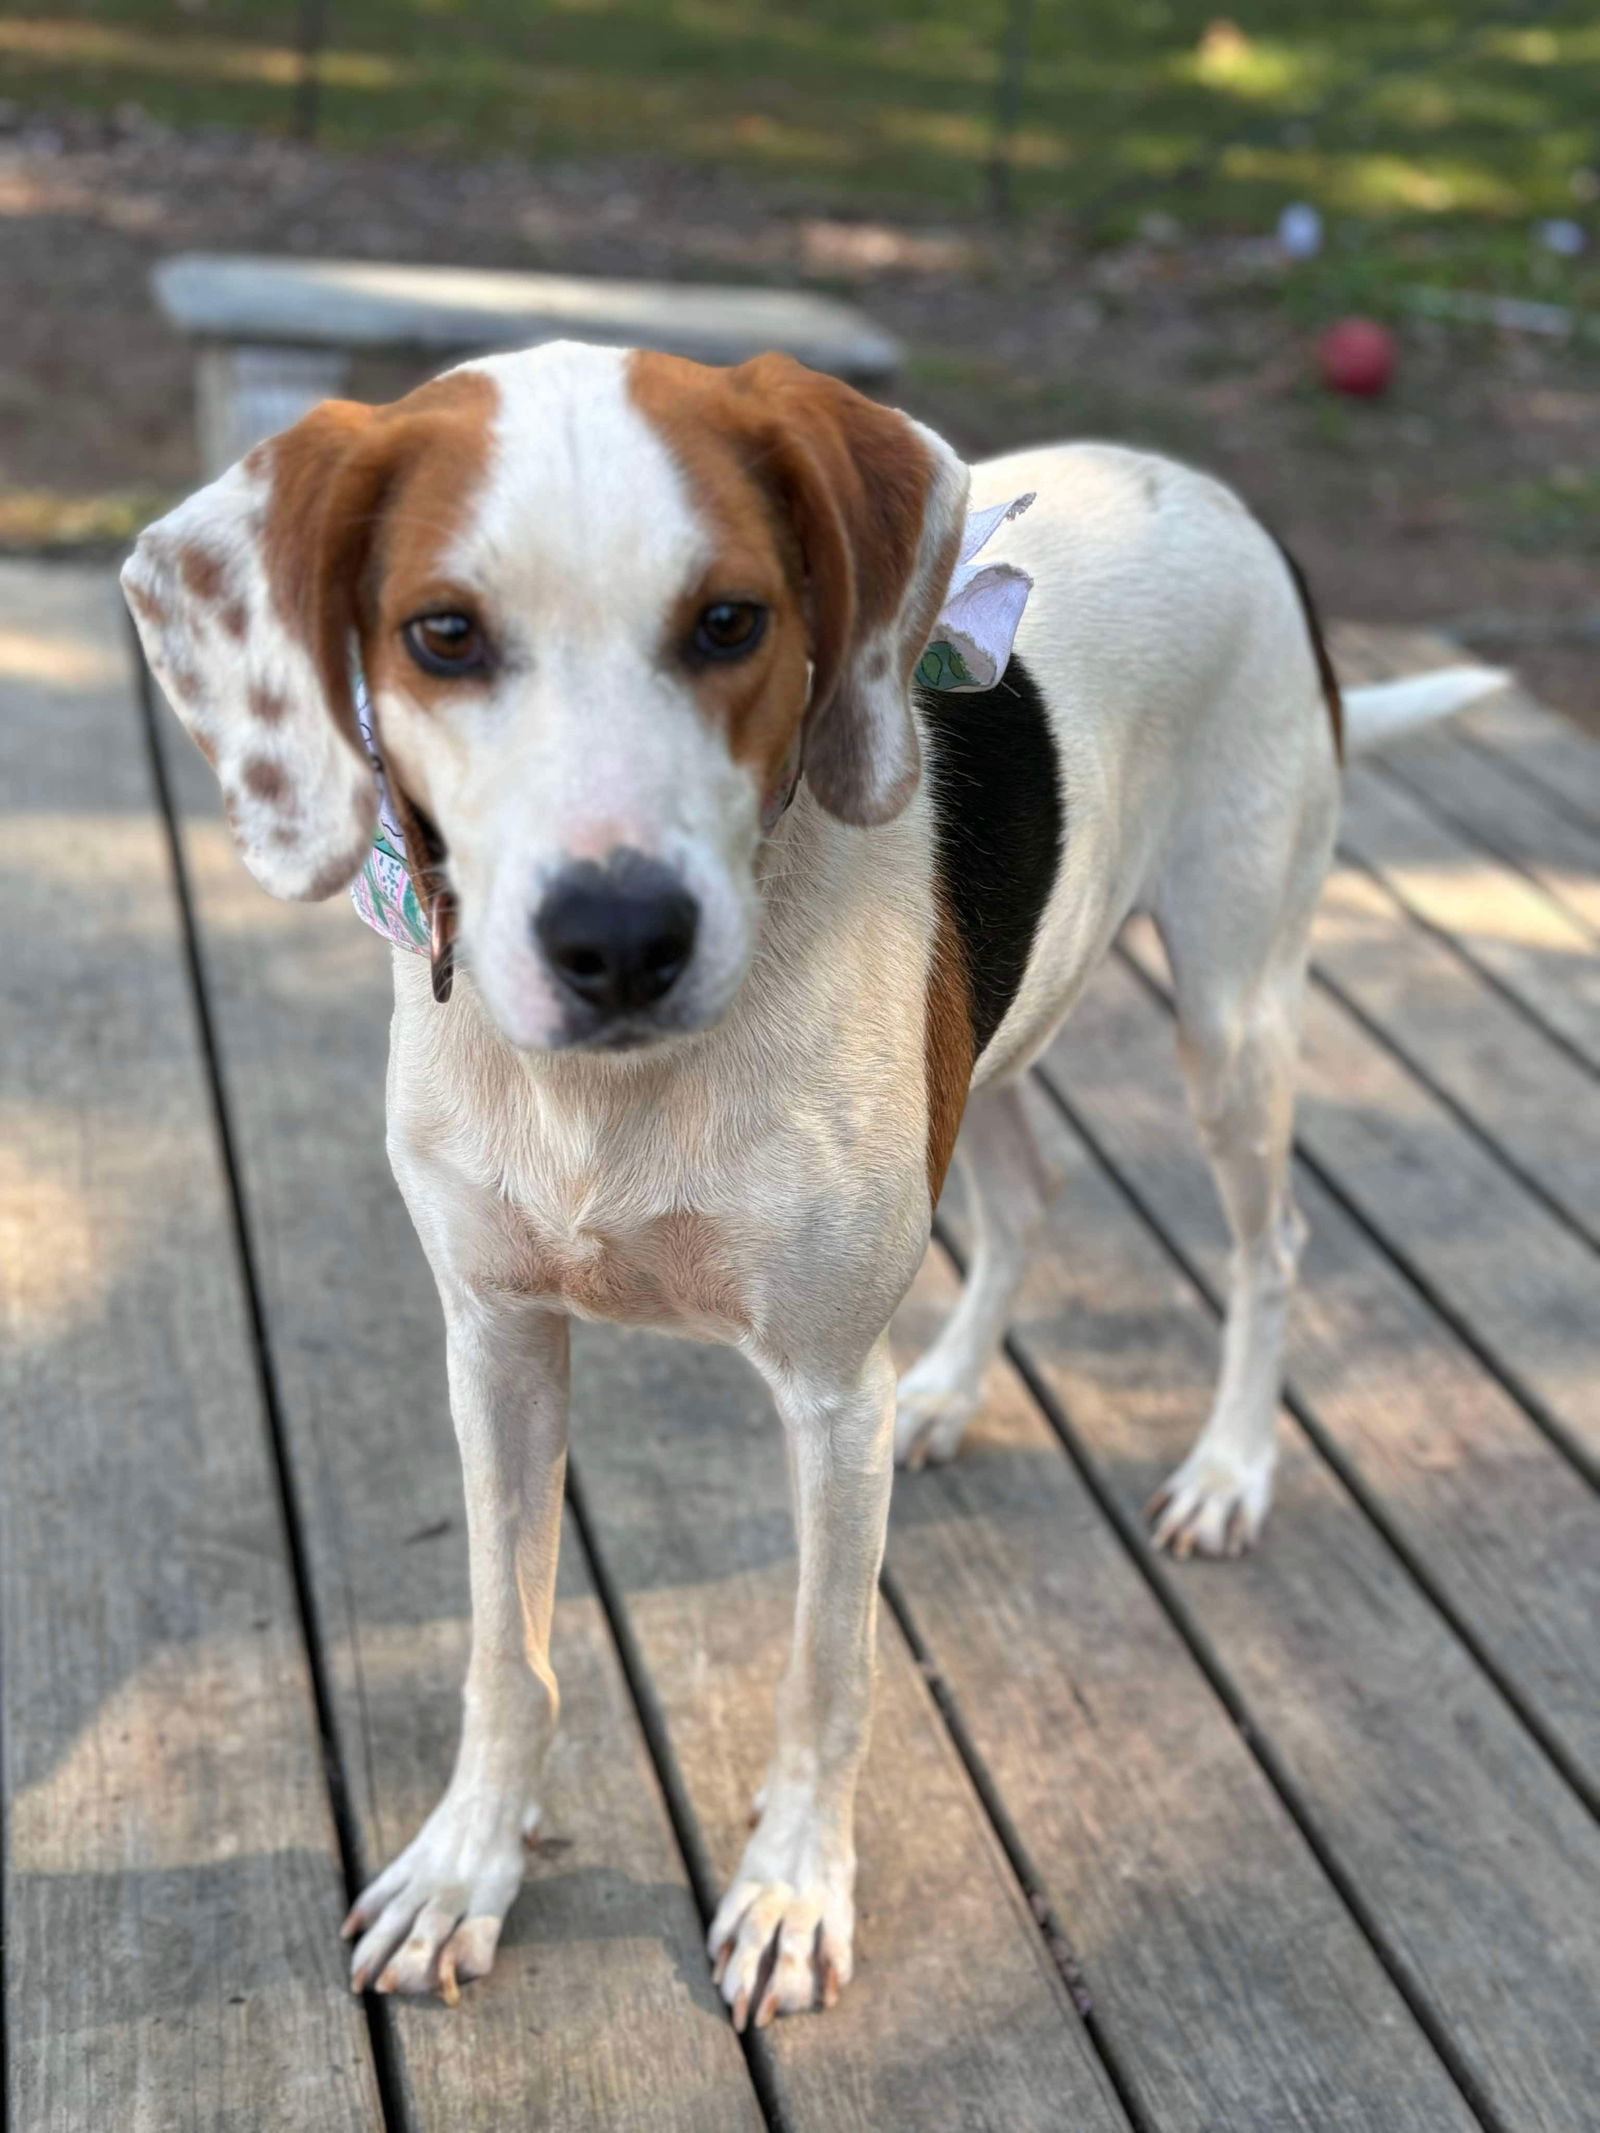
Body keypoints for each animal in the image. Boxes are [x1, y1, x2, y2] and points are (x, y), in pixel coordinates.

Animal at [122, 337, 1501, 2030]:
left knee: (1275, 1246)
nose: (619, 939)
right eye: (442, 634)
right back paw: (958, 1389)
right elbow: (509, 1649)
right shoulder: (495, 1341)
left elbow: (822, 1675)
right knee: (1030, 1198)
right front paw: (465, 1866)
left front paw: (790, 1892)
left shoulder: (828, 1394)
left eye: (731, 621)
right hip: (993, 1037)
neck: (616, 1092)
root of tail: (1217, 495)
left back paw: (1232, 1467)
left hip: (1233, 1012)